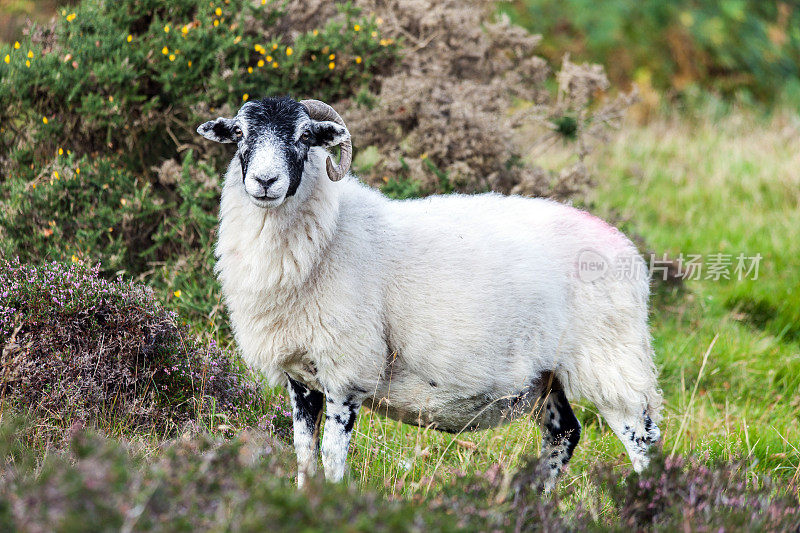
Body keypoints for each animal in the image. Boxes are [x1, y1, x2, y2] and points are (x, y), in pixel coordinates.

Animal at [198, 96, 664, 490]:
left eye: (304, 137)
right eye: (239, 133)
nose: (265, 181)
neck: (331, 233)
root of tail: (630, 252)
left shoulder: (347, 370)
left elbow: (331, 455)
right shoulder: (299, 373)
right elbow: (303, 454)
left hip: (613, 360)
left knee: (642, 441)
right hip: (548, 373)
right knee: (565, 433)